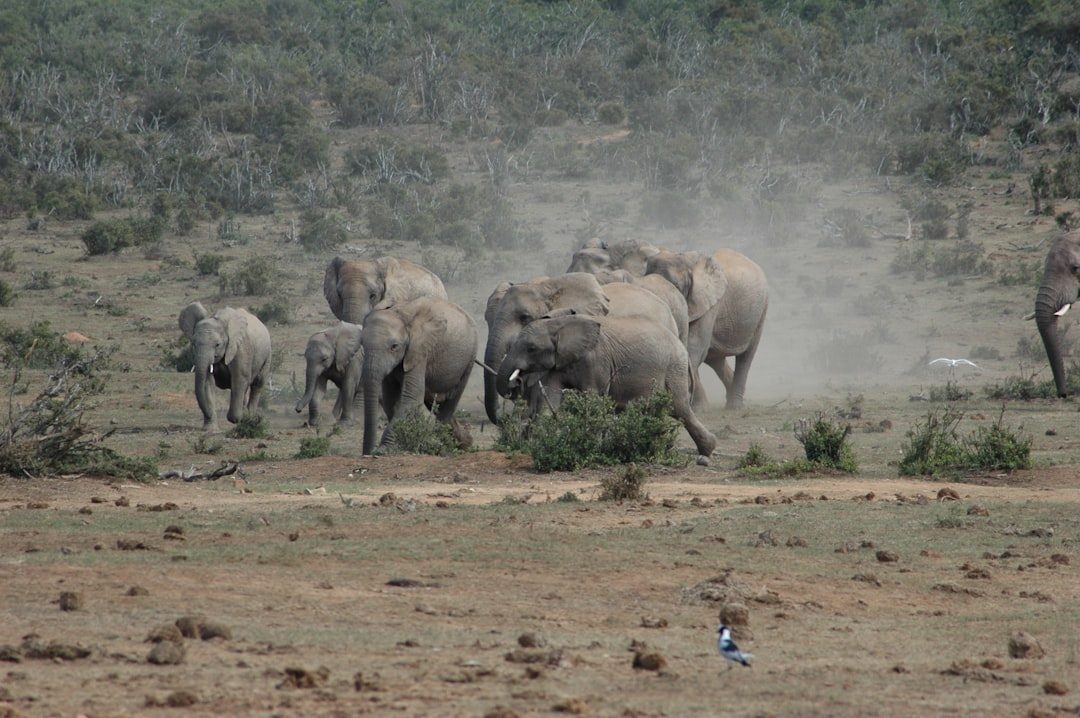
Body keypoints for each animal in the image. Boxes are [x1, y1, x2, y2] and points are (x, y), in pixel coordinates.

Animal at [178, 302, 271, 430]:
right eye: (194, 344)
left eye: (218, 344)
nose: (208, 414)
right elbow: (207, 382)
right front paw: (210, 429)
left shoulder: (241, 348)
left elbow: (239, 378)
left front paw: (236, 419)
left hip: (267, 356)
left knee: (257, 384)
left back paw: (250, 419)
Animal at [360, 297, 478, 455]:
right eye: (362, 344)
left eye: (394, 347)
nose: (367, 452)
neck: (400, 314)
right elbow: (391, 400)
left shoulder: (419, 350)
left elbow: (411, 396)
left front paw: (383, 450)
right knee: (435, 400)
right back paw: (463, 442)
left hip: (470, 357)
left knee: (450, 402)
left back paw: (442, 447)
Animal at [495, 312, 717, 457]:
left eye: (531, 348)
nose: (517, 381)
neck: (560, 324)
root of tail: (682, 347)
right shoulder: (558, 363)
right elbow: (550, 396)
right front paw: (539, 445)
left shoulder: (596, 360)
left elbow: (593, 398)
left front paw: (591, 448)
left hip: (674, 368)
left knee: (679, 408)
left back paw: (706, 453)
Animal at [645, 248, 768, 409]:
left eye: (676, 287)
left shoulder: (710, 304)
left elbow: (694, 346)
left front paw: (698, 409)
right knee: (715, 360)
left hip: (761, 310)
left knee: (746, 357)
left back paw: (735, 406)